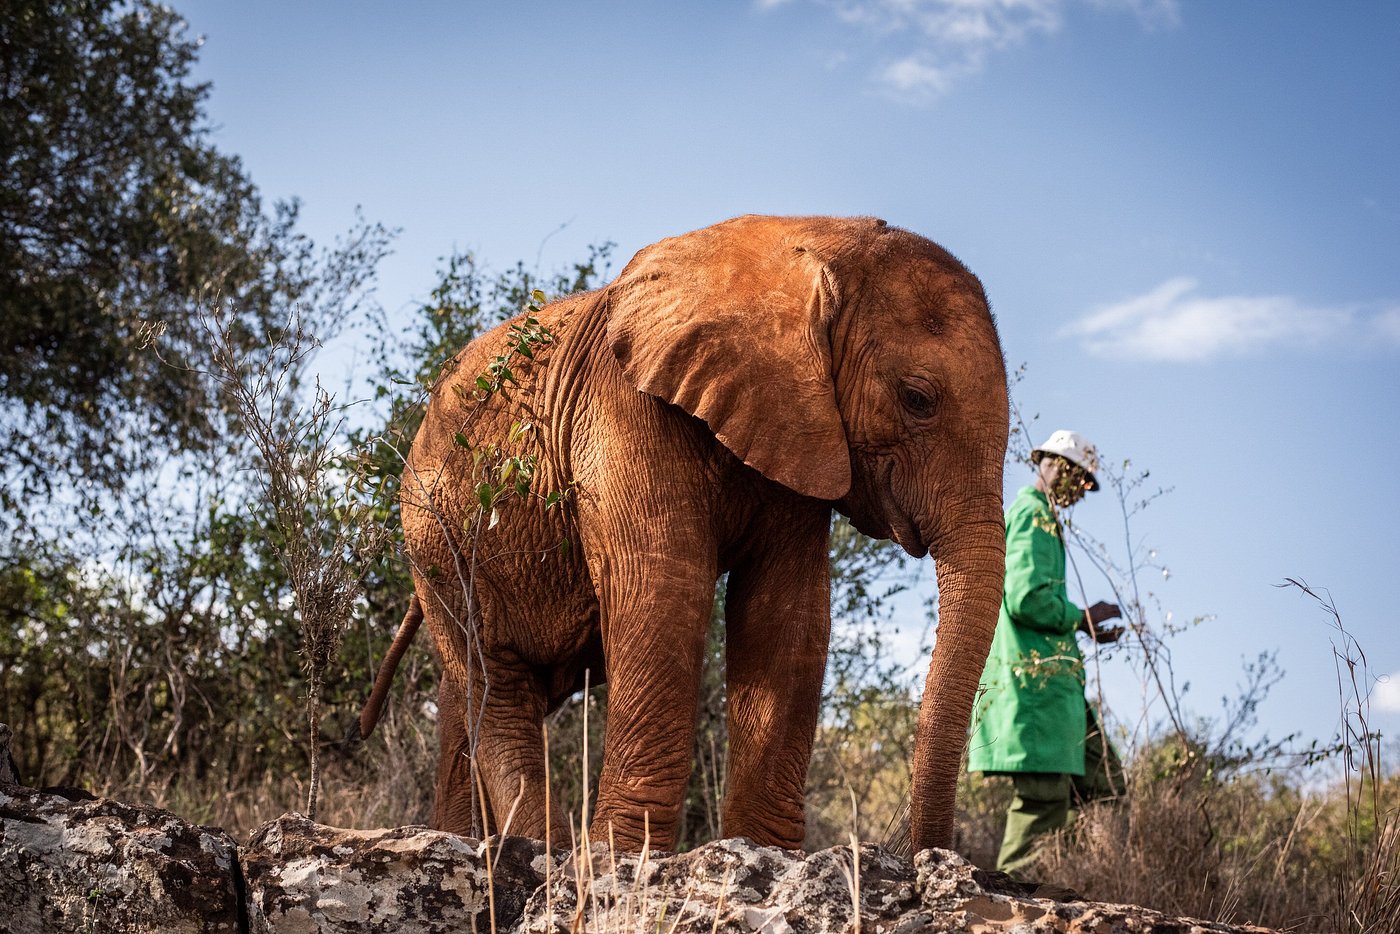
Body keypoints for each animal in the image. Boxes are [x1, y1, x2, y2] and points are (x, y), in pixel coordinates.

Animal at [359, 214, 1009, 854]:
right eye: (917, 399)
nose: (926, 855)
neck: (816, 242)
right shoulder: (626, 409)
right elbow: (664, 589)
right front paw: (624, 860)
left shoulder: (801, 436)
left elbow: (787, 615)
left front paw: (762, 853)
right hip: (436, 541)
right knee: (497, 684)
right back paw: (536, 854)